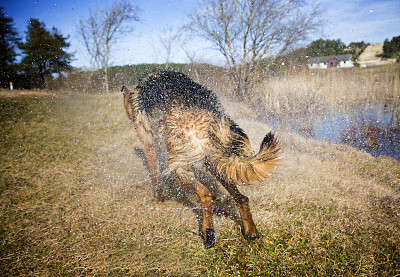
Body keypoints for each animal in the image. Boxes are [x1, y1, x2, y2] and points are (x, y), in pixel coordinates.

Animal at [122, 71, 278, 248]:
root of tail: (212, 119)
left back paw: (208, 233)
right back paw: (250, 231)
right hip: (216, 163)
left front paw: (157, 198)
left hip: (180, 167)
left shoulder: (148, 142)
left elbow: (154, 175)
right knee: (242, 198)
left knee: (207, 195)